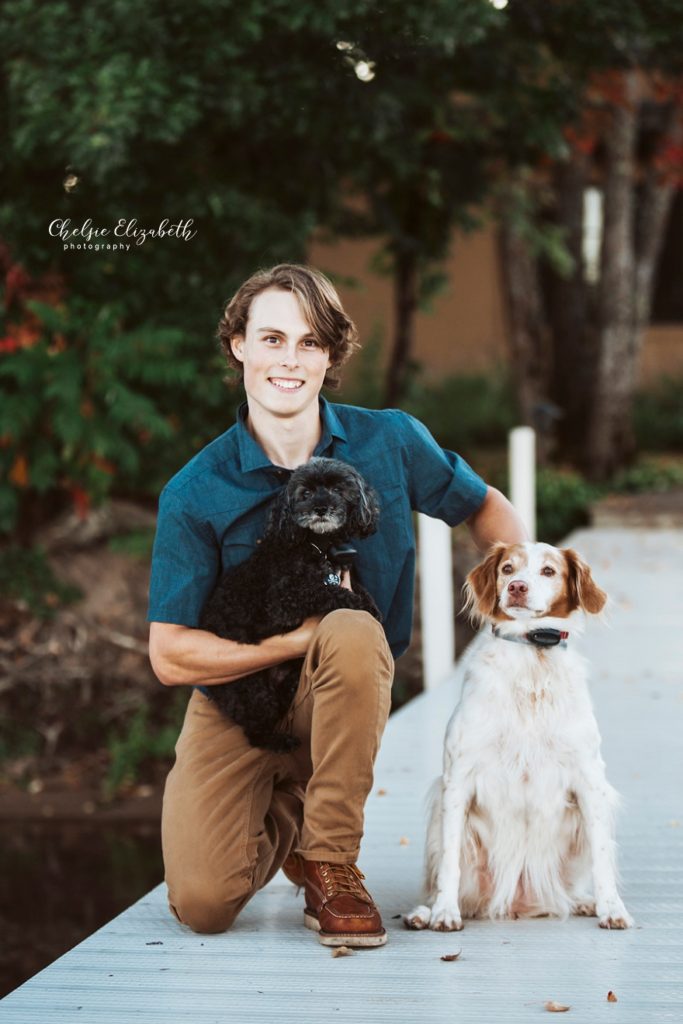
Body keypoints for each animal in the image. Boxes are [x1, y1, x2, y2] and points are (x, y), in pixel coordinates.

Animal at [200, 456, 385, 753]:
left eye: (337, 489)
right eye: (305, 494)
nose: (320, 508)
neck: (317, 546)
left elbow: (355, 585)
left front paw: (372, 605)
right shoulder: (283, 601)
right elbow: (324, 590)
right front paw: (358, 604)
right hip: (252, 693)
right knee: (255, 733)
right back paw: (280, 742)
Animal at [403, 540, 634, 933]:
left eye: (548, 571)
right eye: (507, 568)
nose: (517, 588)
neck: (532, 657)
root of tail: (517, 904)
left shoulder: (590, 779)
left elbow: (602, 857)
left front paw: (611, 908)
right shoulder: (457, 778)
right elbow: (450, 861)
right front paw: (445, 912)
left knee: (567, 891)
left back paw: (584, 902)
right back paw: (424, 912)